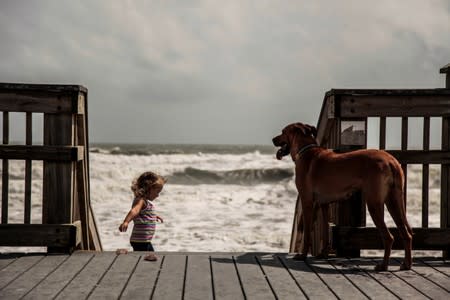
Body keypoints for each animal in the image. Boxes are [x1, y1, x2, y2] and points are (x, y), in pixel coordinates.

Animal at [272, 122, 414, 272]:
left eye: (283, 132)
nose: (273, 139)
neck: (305, 150)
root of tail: (391, 160)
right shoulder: (324, 204)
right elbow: (325, 231)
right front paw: (323, 254)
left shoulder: (307, 201)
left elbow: (307, 233)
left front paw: (302, 255)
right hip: (394, 201)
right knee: (406, 233)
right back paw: (406, 264)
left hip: (374, 203)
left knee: (389, 237)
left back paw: (383, 265)